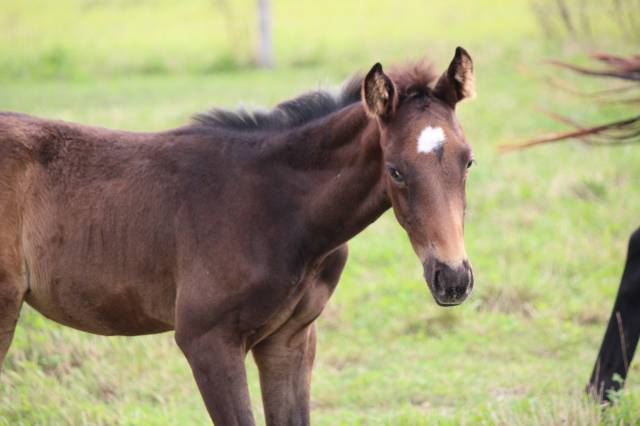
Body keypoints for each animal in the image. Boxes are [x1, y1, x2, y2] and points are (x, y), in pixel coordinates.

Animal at [0, 48, 476, 424]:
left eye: (468, 161)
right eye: (395, 169)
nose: (453, 278)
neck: (276, 211)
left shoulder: (290, 340)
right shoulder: (207, 341)